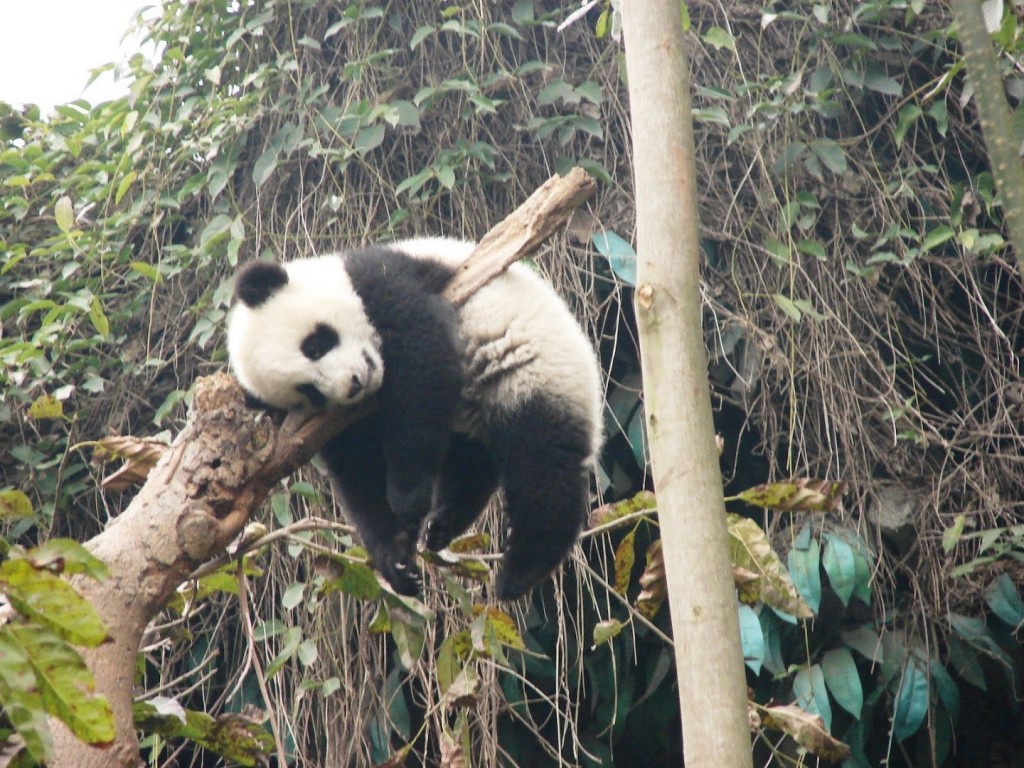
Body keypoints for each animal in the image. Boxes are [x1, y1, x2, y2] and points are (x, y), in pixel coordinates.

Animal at [227, 237, 603, 601]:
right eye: (308, 391)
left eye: (316, 345)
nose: (354, 384)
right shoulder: (337, 425)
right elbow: (359, 472)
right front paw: (397, 560)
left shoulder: (384, 282)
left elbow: (422, 360)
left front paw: (408, 500)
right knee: (473, 462)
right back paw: (443, 524)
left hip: (536, 373)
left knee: (543, 466)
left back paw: (520, 572)